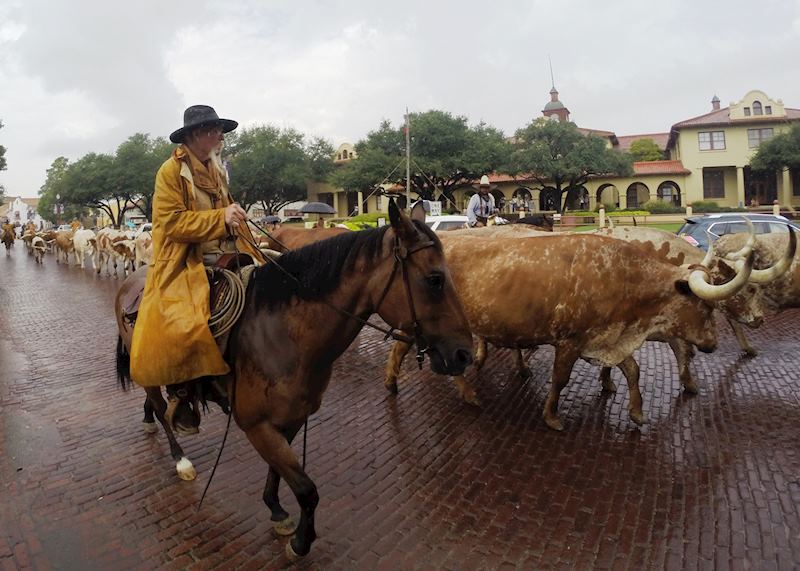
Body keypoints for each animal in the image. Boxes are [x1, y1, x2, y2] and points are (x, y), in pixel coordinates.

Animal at [384, 232, 754, 430]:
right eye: (704, 307)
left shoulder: (605, 339)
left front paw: (636, 412)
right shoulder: (570, 341)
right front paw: (551, 416)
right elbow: (560, 379)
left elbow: (633, 370)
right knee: (402, 349)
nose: (712, 344)